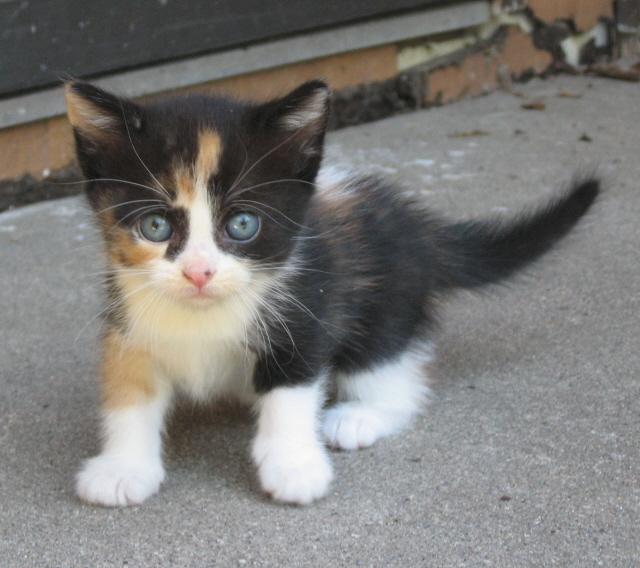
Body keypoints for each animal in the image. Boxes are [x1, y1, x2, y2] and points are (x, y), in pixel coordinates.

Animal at [65, 79, 600, 506]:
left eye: (242, 224)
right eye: (155, 226)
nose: (199, 273)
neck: (202, 314)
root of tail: (422, 231)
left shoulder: (308, 305)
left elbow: (292, 389)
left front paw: (293, 466)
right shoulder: (128, 321)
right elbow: (129, 391)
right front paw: (122, 468)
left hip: (385, 303)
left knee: (395, 372)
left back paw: (359, 417)